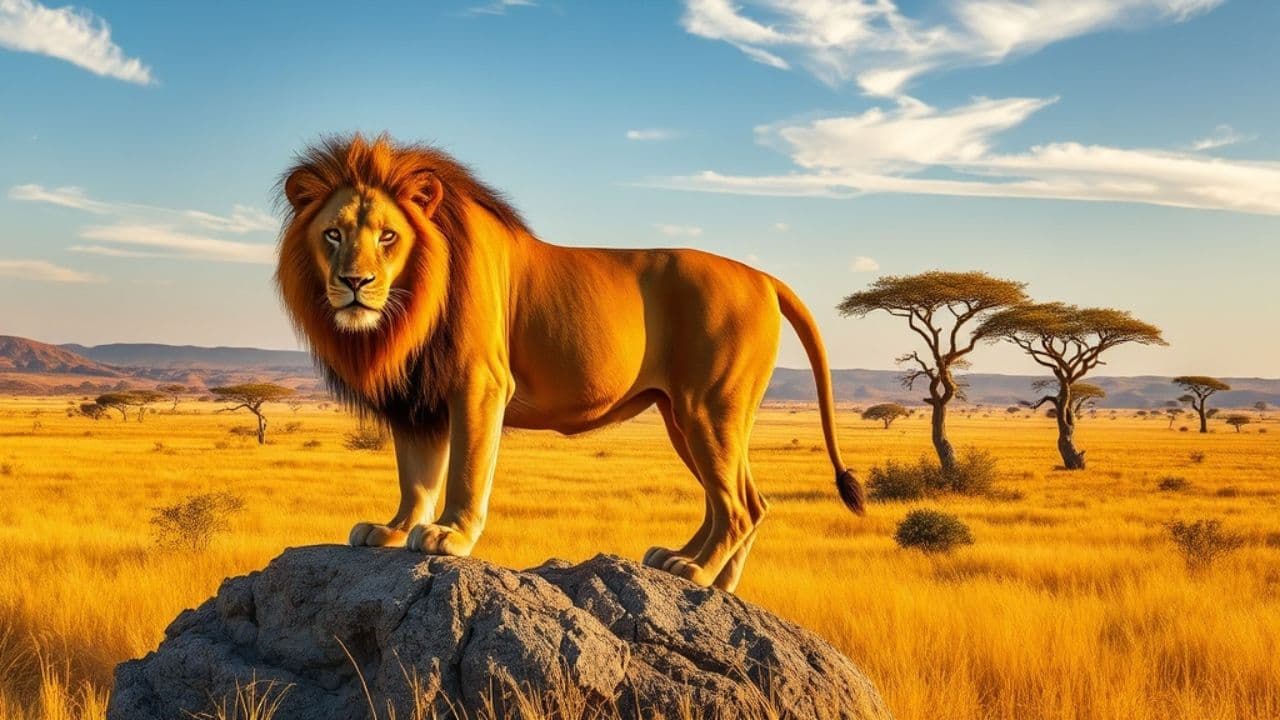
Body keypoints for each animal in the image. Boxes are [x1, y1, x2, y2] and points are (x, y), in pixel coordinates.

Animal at [276, 134, 864, 592]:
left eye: (388, 236)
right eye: (333, 234)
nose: (354, 282)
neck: (405, 312)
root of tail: (764, 277)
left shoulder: (479, 381)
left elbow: (466, 469)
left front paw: (451, 536)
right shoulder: (415, 396)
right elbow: (416, 478)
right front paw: (393, 531)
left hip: (709, 408)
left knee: (738, 506)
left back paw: (694, 572)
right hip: (686, 415)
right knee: (746, 501)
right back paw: (701, 574)